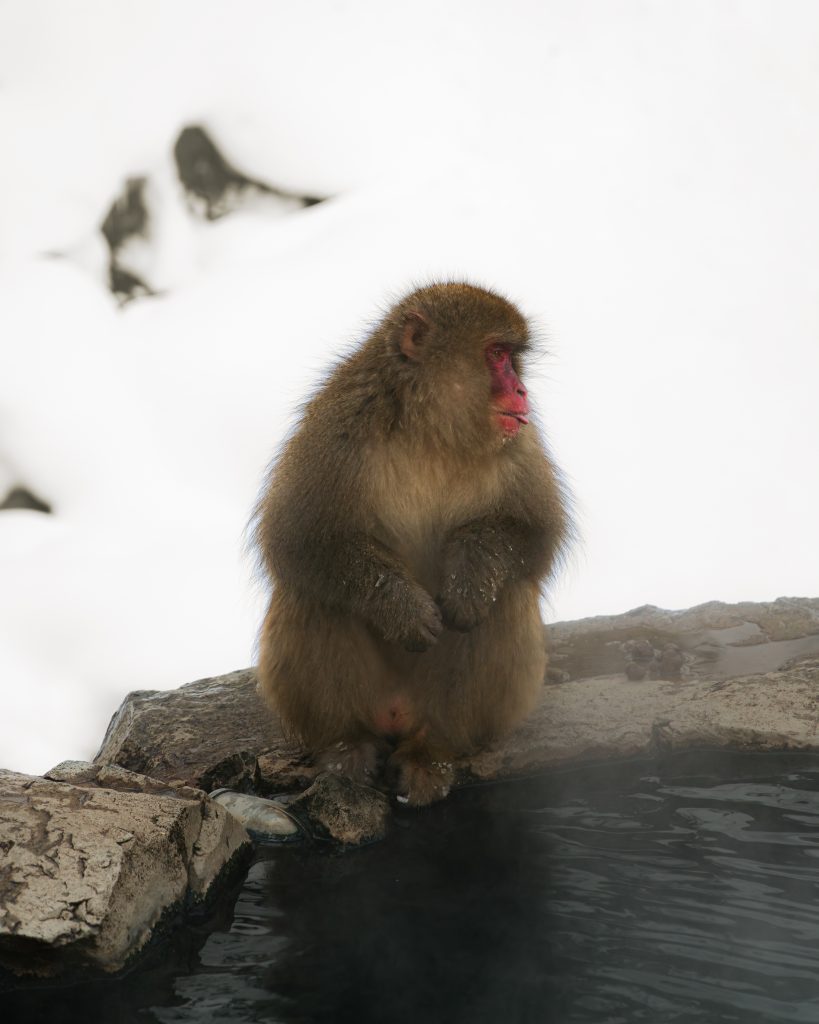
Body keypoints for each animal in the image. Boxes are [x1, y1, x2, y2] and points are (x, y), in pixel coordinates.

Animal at [254, 282, 569, 806]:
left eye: (512, 359)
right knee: (312, 593)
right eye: (497, 354)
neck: (432, 430)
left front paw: (470, 574)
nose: (522, 391)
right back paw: (346, 748)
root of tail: (398, 713)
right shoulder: (338, 424)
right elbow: (299, 538)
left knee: (504, 597)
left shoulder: (520, 443)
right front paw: (399, 607)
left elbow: (534, 533)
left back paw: (433, 751)